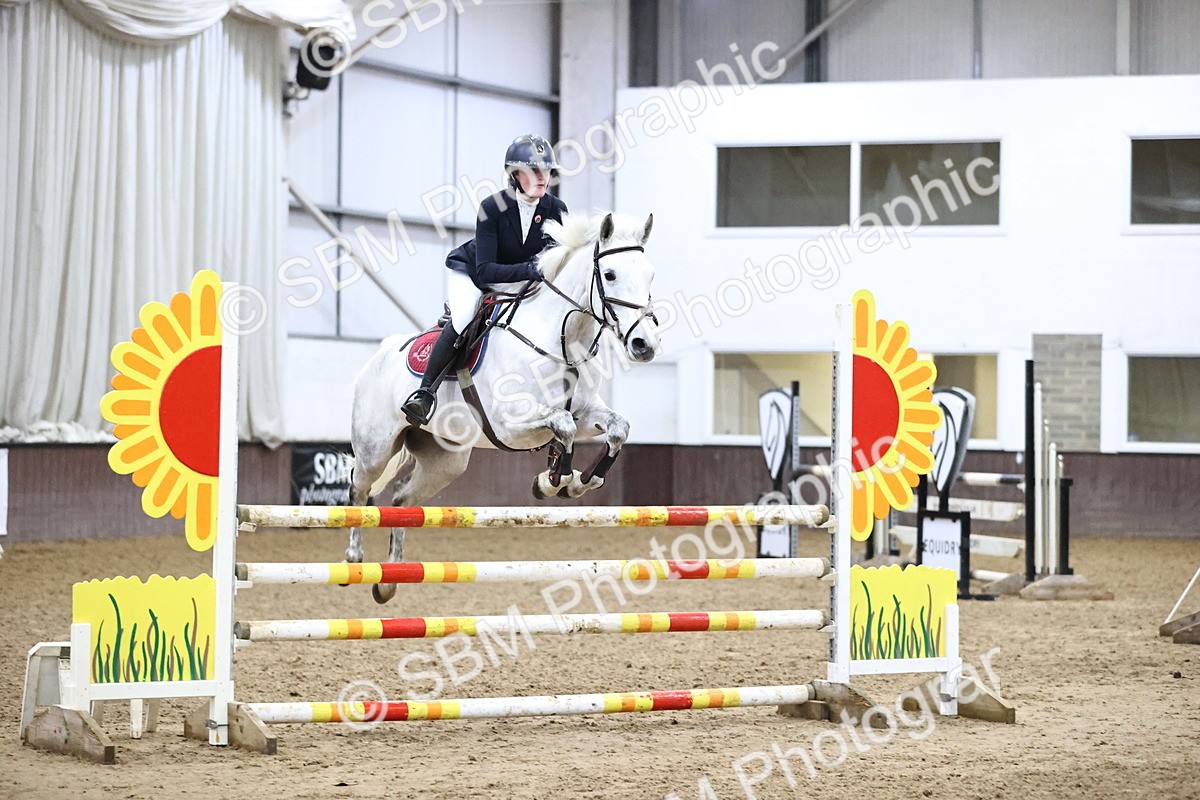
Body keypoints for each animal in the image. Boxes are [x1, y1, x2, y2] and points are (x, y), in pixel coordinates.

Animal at [346, 211, 662, 602]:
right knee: (359, 489)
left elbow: (616, 429)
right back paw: (354, 560)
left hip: (446, 460)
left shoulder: (587, 413)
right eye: (611, 274)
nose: (645, 345)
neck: (563, 337)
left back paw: (389, 580)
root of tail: (379, 354)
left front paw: (577, 482)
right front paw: (554, 481)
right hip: (375, 447)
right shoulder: (508, 423)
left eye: (650, 275)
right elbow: (564, 426)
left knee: (403, 500)